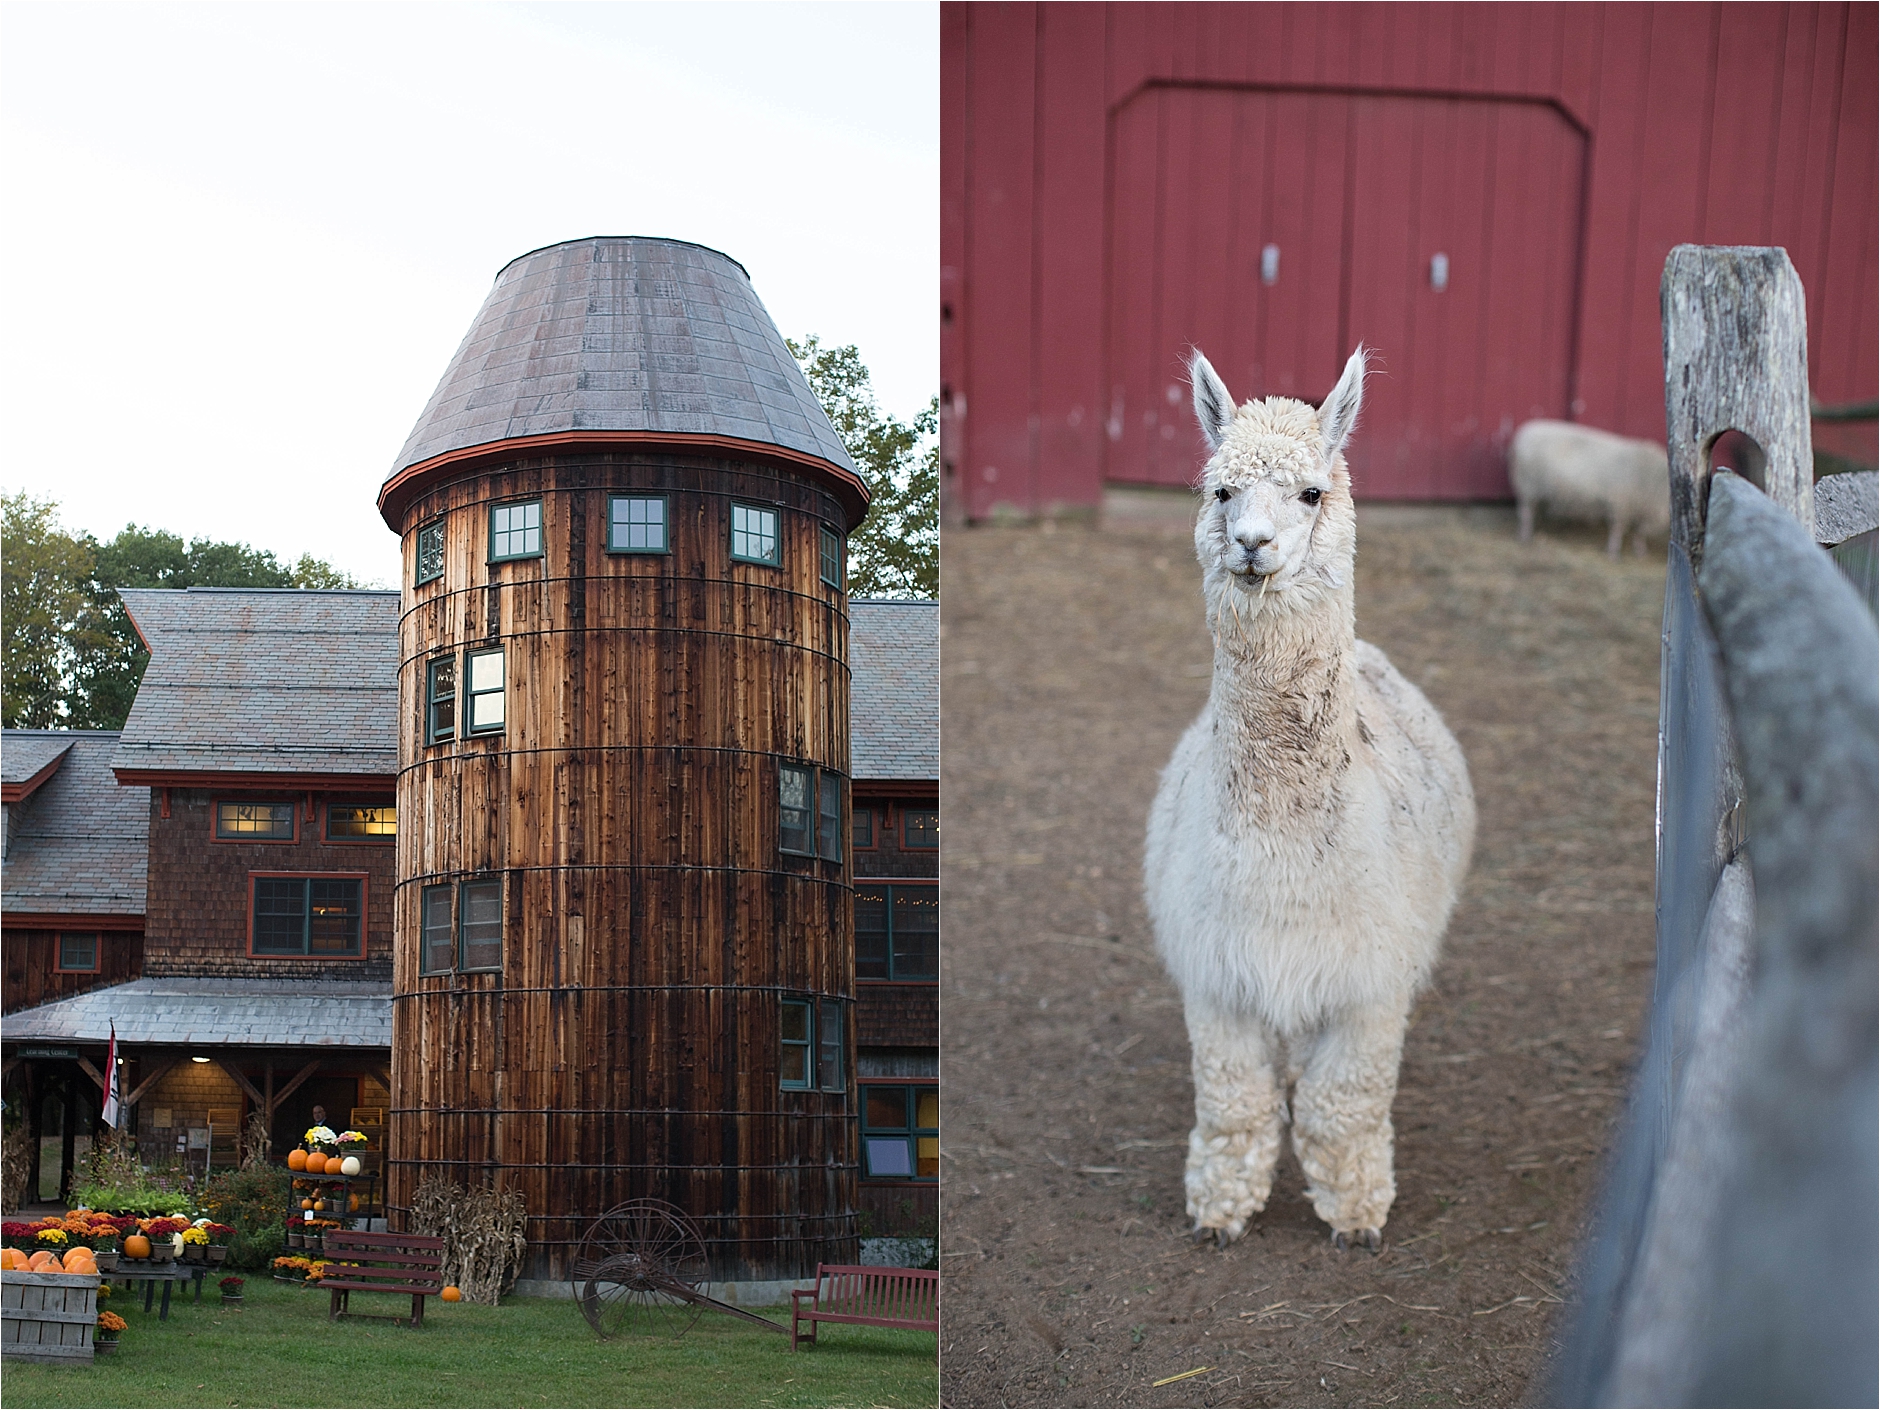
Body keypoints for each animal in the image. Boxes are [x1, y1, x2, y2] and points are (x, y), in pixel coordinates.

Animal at [1135, 347, 1473, 1255]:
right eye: (1221, 491)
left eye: (1312, 493)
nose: (1254, 545)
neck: (1282, 864)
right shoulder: (1219, 973)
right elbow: (1236, 1104)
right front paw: (1219, 1213)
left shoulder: (1370, 980)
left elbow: (1338, 1107)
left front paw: (1357, 1218)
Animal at [1511, 419, 1676, 556]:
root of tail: (1523, 433)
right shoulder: (1620, 505)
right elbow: (1618, 529)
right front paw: (1613, 552)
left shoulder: (1641, 509)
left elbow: (1639, 532)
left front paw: (1639, 551)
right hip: (1527, 488)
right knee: (1526, 514)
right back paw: (1526, 536)